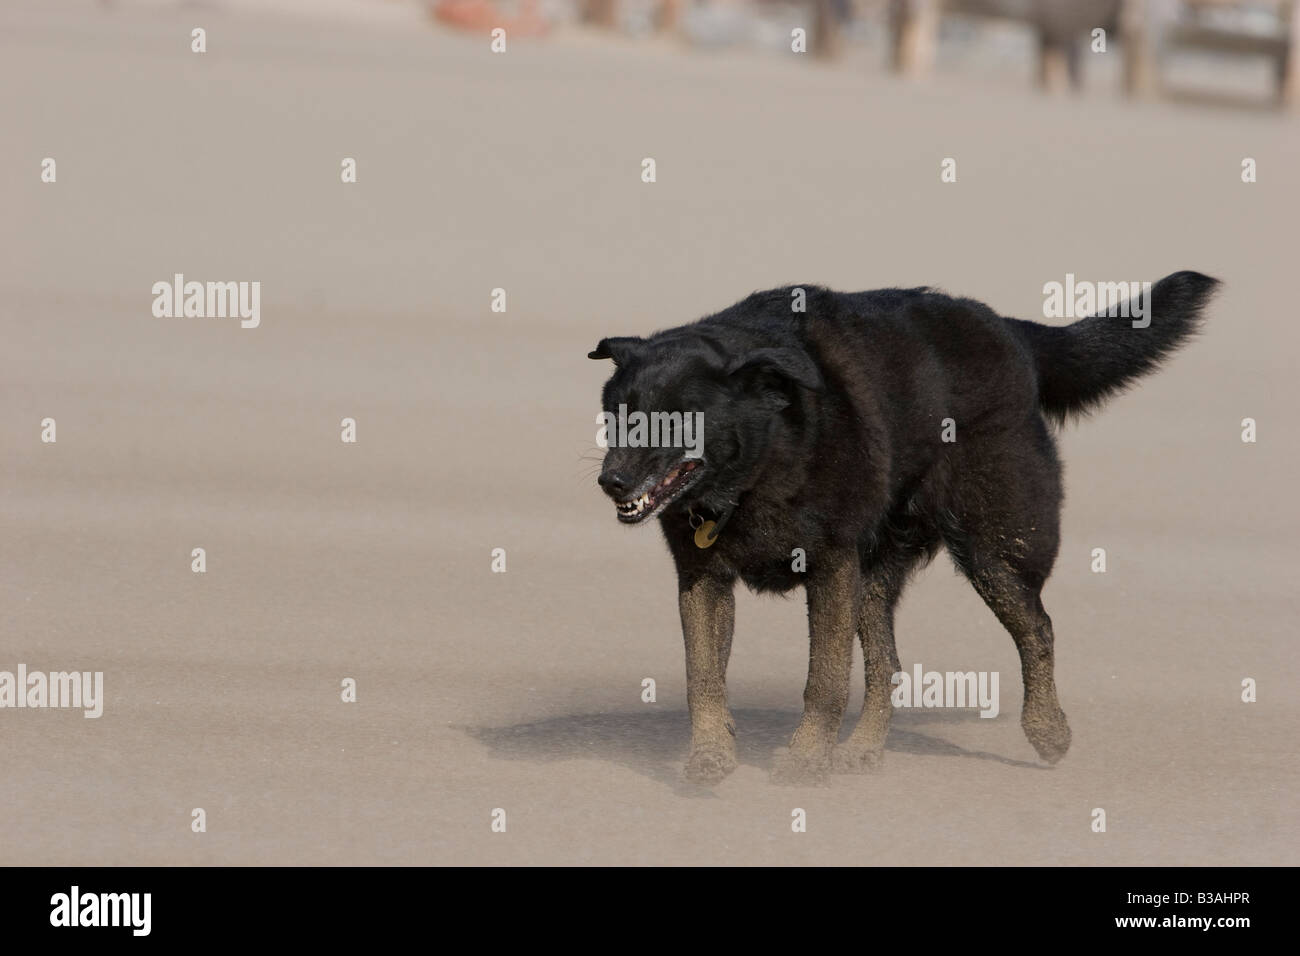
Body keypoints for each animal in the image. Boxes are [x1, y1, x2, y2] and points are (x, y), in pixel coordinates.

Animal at [590, 270, 1216, 785]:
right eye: (617, 414)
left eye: (679, 420)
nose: (611, 482)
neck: (760, 463)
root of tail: (1009, 331)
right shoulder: (704, 580)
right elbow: (703, 677)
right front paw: (712, 756)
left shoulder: (831, 567)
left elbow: (824, 681)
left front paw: (805, 760)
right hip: (876, 577)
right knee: (887, 664)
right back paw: (864, 749)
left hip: (993, 545)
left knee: (1037, 627)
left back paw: (1048, 729)